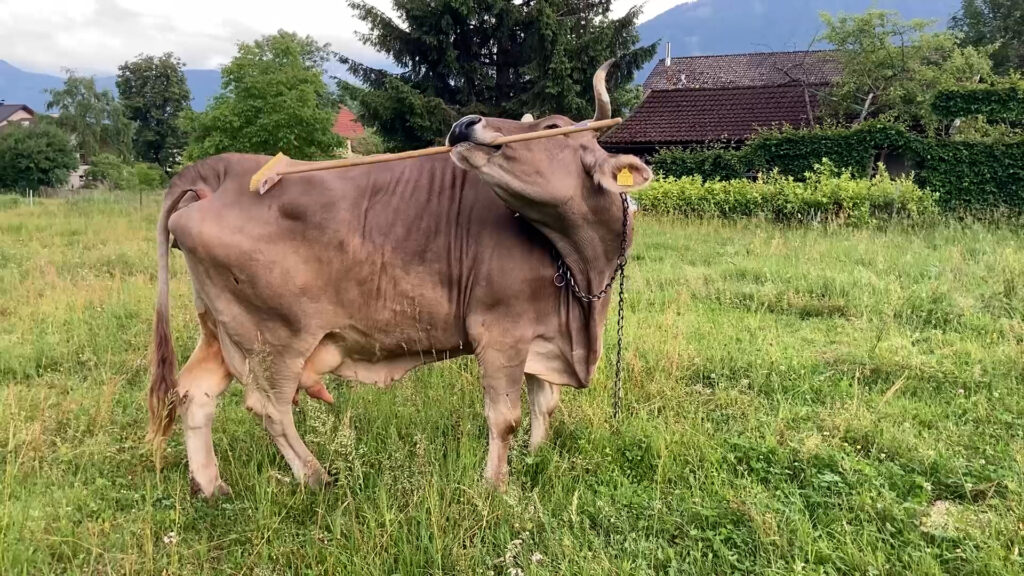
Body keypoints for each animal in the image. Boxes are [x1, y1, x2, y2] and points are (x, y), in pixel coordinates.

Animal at [147, 61, 653, 497]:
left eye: (550, 129)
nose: (466, 123)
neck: (582, 273)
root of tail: (222, 169)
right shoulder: (500, 332)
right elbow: (505, 416)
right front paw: (496, 486)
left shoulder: (542, 335)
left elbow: (543, 404)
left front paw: (536, 458)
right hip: (274, 336)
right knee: (269, 406)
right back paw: (316, 477)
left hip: (220, 328)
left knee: (195, 391)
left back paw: (212, 486)